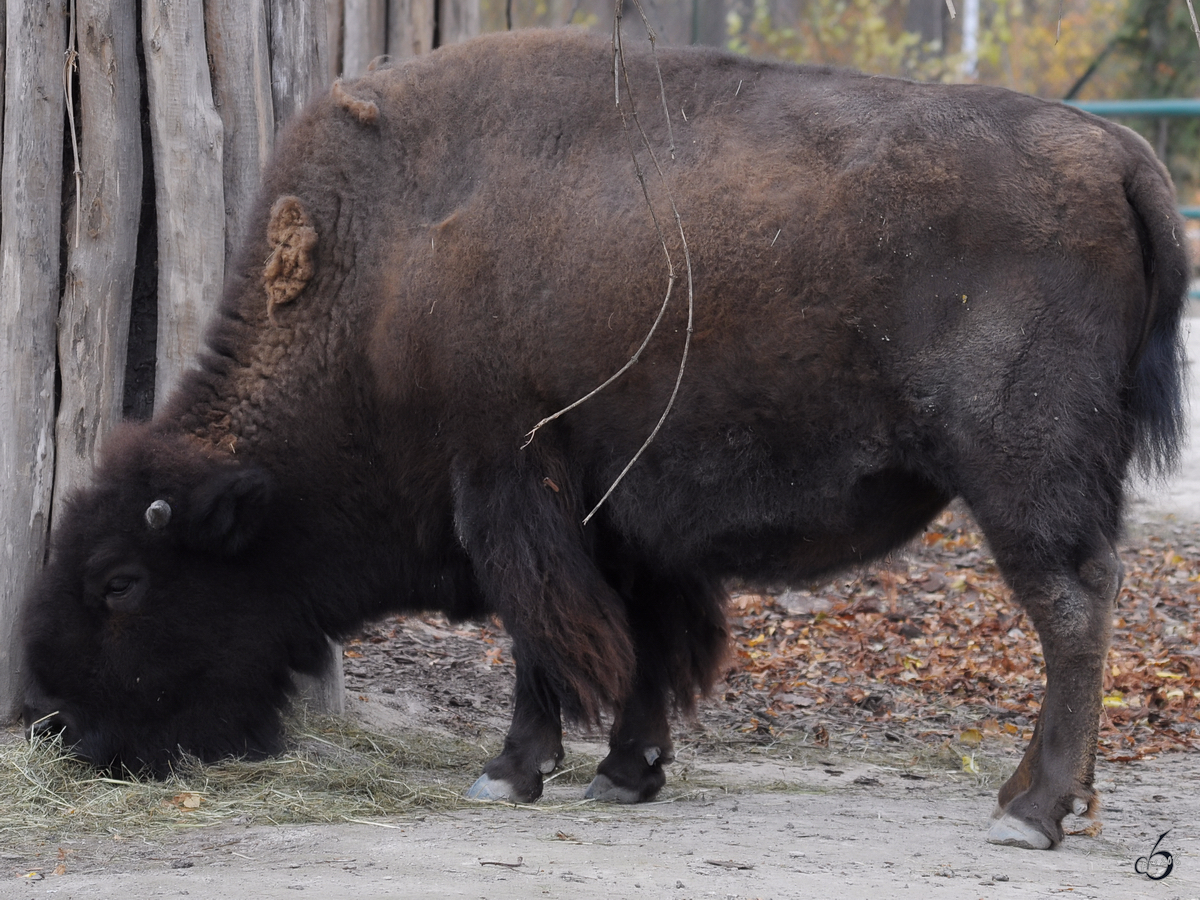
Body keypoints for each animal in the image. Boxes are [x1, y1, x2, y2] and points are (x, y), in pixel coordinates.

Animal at [18, 28, 1190, 854]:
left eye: (120, 581)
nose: (51, 722)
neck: (383, 269)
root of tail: (1118, 151)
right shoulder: (623, 518)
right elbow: (645, 640)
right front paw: (627, 773)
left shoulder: (511, 490)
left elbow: (546, 637)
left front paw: (509, 773)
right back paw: (1055, 799)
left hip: (1021, 473)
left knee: (1072, 608)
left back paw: (1027, 812)